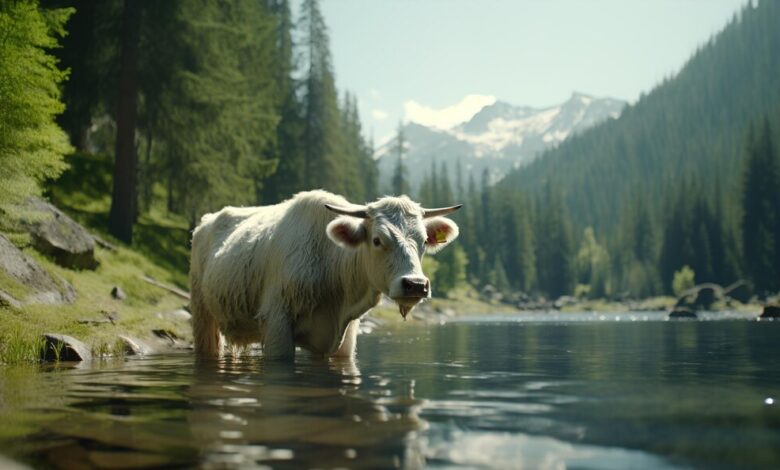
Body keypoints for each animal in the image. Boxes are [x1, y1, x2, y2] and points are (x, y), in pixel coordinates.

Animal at [188, 189, 460, 358]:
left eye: (424, 241)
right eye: (377, 240)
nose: (415, 284)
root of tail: (206, 221)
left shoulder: (344, 338)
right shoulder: (277, 322)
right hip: (203, 316)